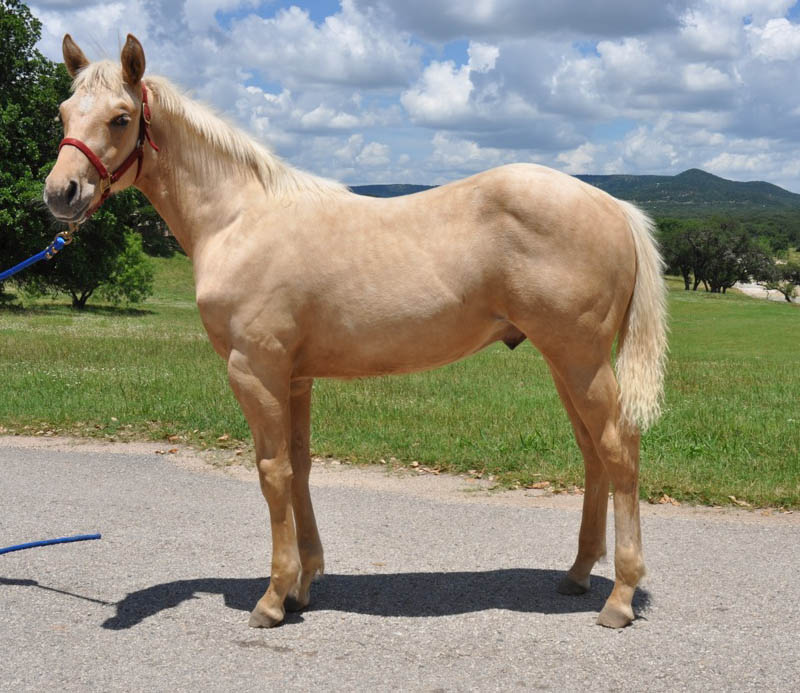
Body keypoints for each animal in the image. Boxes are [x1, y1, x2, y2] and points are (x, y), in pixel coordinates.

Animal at [45, 35, 668, 628]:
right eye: (64, 112)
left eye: (121, 117)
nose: (60, 194)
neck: (239, 219)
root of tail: (612, 204)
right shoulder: (294, 378)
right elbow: (299, 468)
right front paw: (302, 585)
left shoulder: (255, 370)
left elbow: (273, 473)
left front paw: (272, 599)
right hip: (565, 362)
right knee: (593, 455)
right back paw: (579, 574)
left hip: (581, 360)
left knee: (619, 450)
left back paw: (620, 597)